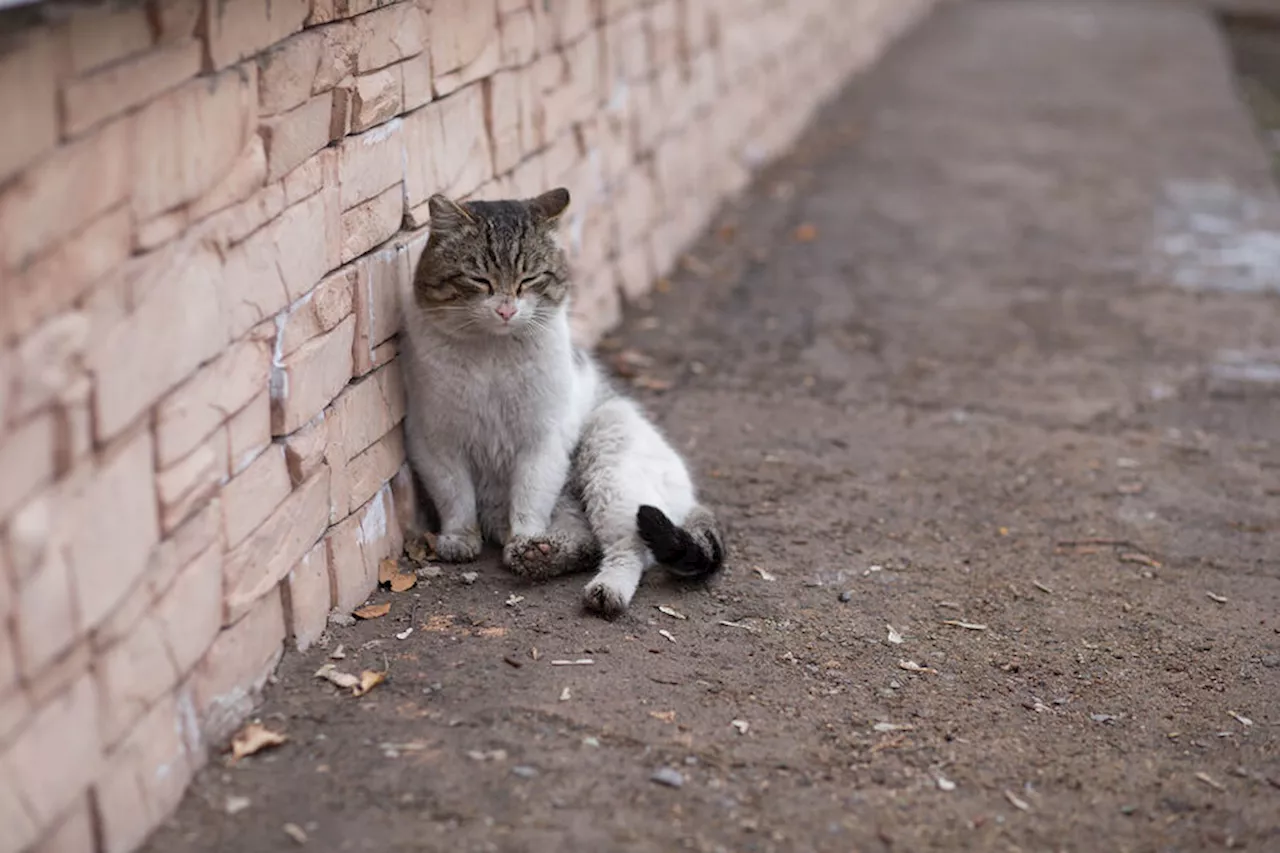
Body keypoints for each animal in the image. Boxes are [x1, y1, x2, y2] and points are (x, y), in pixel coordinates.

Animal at [399, 185, 721, 614]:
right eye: (479, 279)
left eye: (529, 279)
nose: (506, 310)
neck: (492, 353)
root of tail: (690, 495)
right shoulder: (435, 440)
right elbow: (455, 496)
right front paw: (460, 538)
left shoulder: (542, 441)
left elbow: (528, 500)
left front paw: (523, 537)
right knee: (585, 541)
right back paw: (541, 555)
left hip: (608, 465)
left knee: (629, 548)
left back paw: (601, 588)